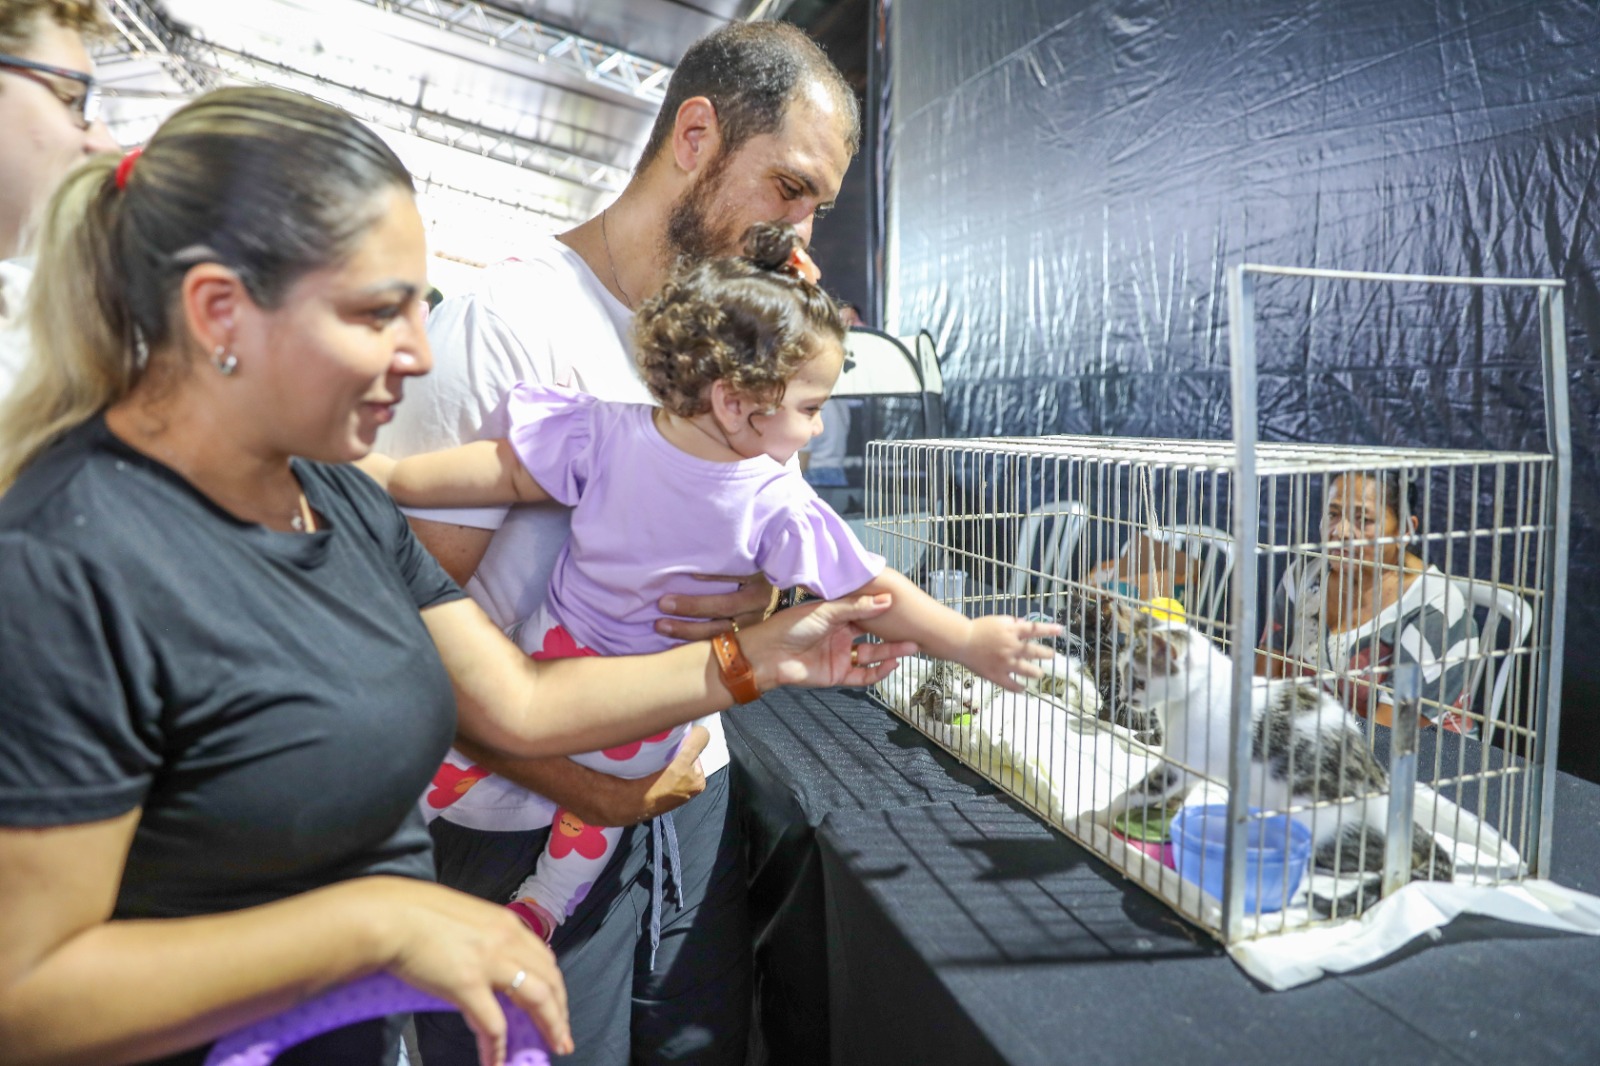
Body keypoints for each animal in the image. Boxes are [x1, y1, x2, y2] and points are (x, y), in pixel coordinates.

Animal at [1100, 605, 1452, 915]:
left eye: (1140, 681)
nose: (1123, 697)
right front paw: (1168, 808)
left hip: (1316, 815)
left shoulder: (1180, 761)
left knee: (1369, 857)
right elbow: (1182, 789)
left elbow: (1143, 789)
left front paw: (1102, 812)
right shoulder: (1192, 763)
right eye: (1121, 672)